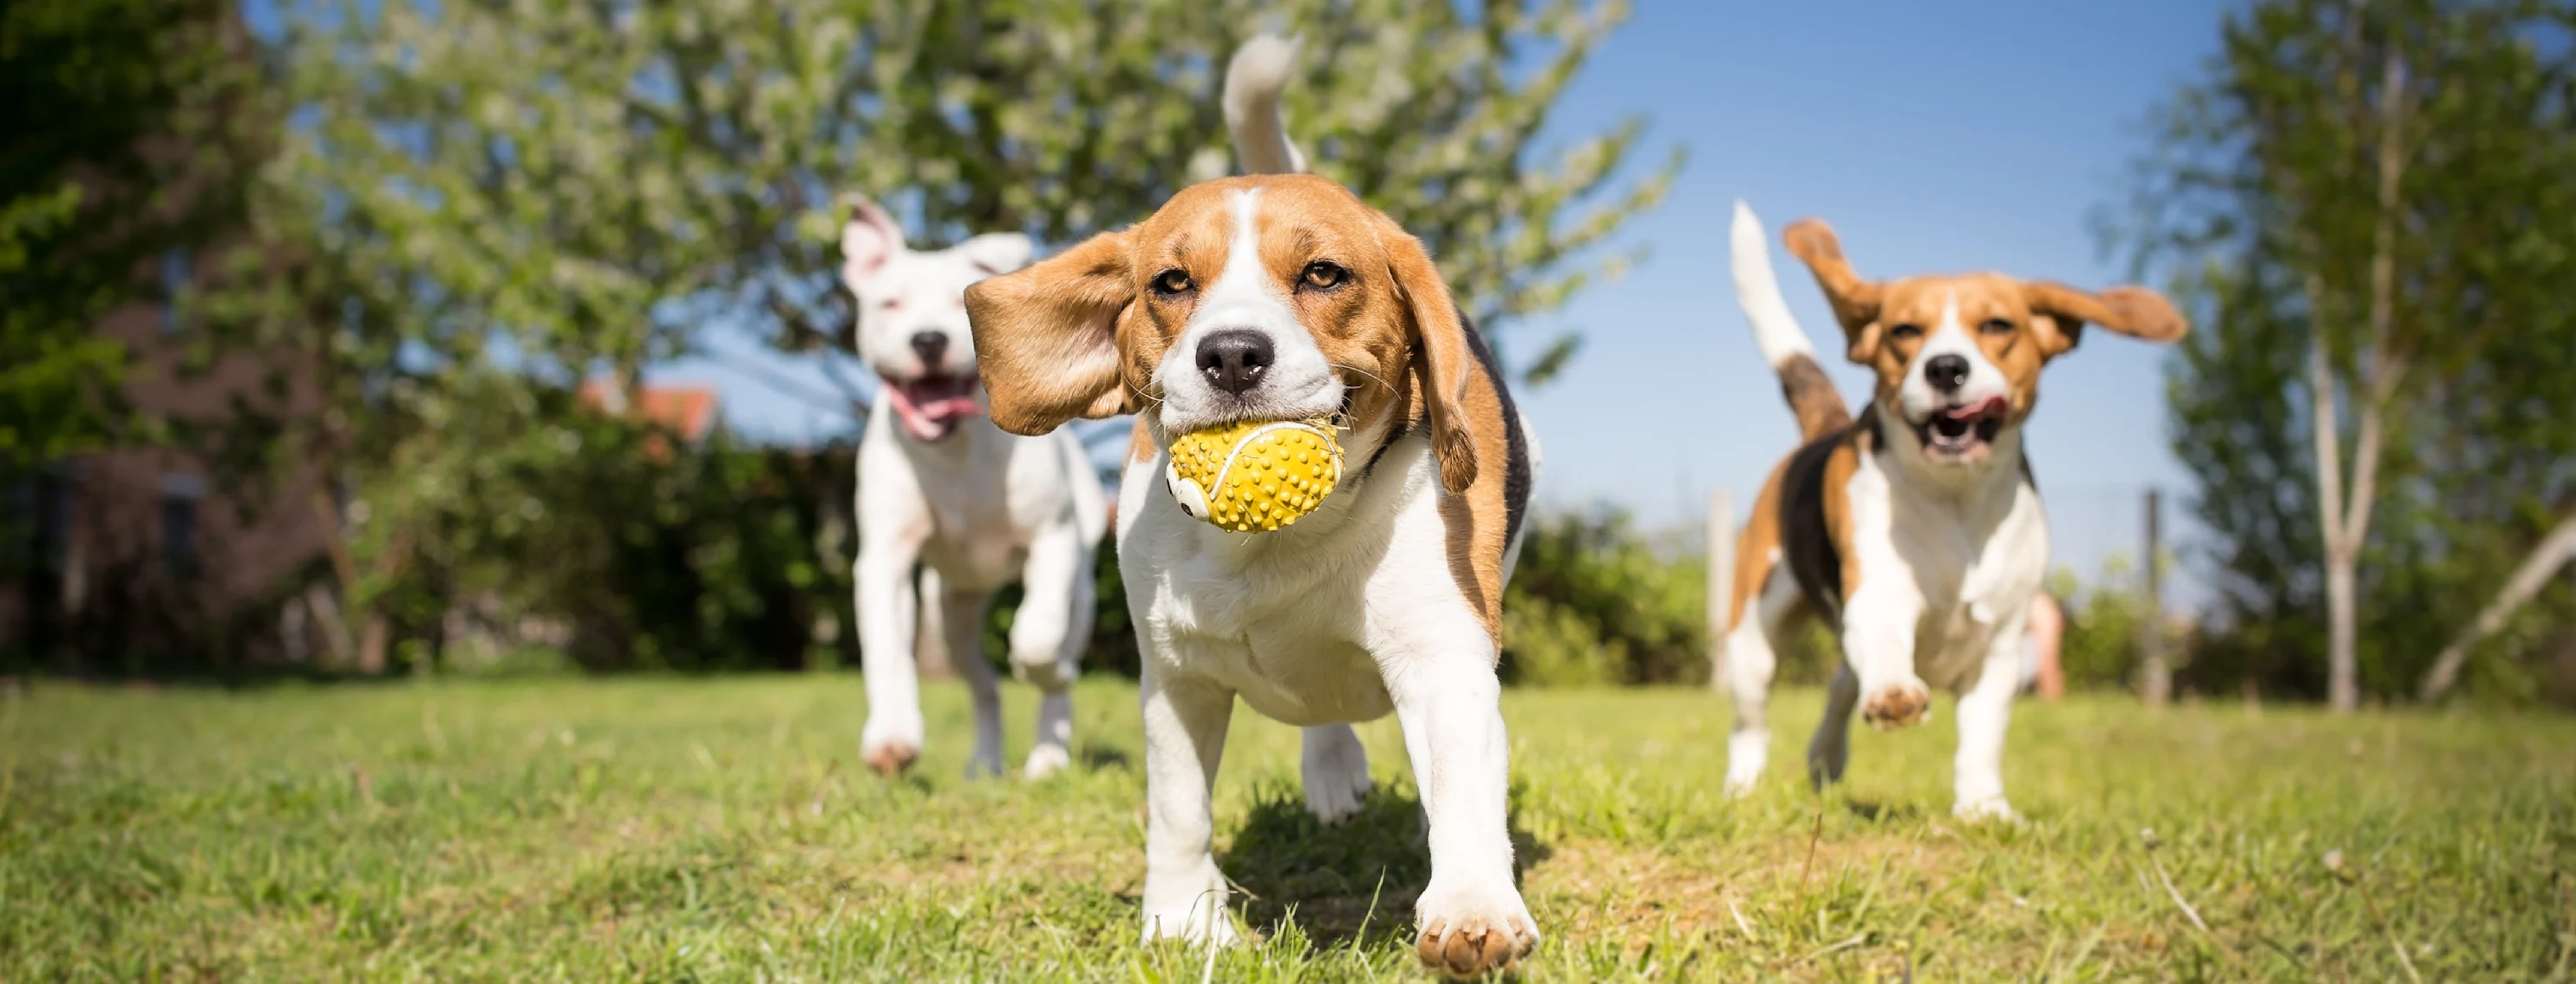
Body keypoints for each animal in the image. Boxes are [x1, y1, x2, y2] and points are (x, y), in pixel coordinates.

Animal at [845, 198, 1108, 777]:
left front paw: (1044, 668)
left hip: (1080, 589)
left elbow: (1037, 637)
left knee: (1056, 663)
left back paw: (1048, 756)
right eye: (890, 303)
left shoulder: (1052, 540)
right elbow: (886, 650)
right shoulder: (884, 559)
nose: (928, 339)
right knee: (984, 685)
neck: (954, 449)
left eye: (957, 301)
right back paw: (985, 763)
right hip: (951, 614)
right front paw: (891, 737)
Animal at [963, 36, 1525, 979]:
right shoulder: (1175, 676)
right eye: (1171, 282)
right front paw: (1183, 923)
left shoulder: (1442, 651)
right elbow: (1180, 809)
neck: (1277, 544)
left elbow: (1461, 782)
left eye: (1324, 274)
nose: (1230, 353)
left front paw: (1473, 906)